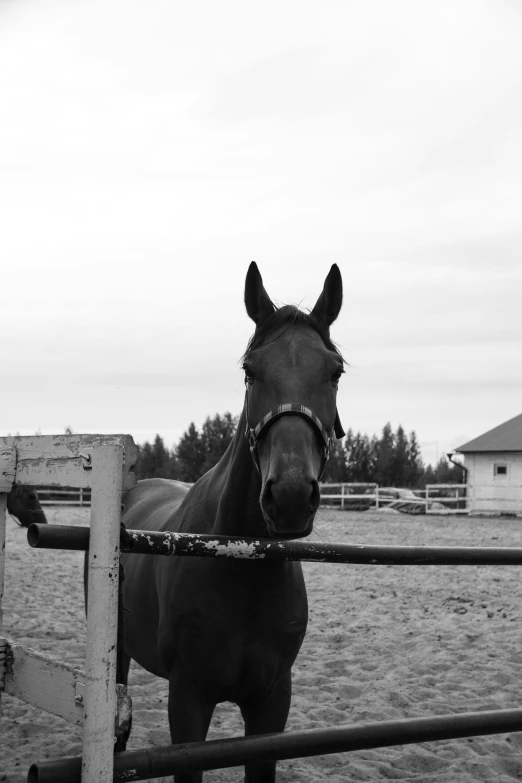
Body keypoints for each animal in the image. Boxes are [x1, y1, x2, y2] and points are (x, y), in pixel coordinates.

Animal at [115, 264, 342, 783]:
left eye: (335, 372)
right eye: (249, 371)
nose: (290, 495)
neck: (241, 563)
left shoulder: (272, 702)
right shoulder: (189, 699)